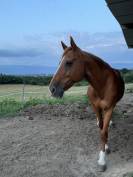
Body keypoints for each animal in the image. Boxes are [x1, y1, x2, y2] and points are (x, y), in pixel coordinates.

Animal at [49, 36, 124, 171]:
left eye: (69, 62)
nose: (52, 89)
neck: (102, 85)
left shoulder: (109, 108)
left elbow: (103, 132)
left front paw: (102, 161)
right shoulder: (95, 107)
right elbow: (101, 127)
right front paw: (105, 148)